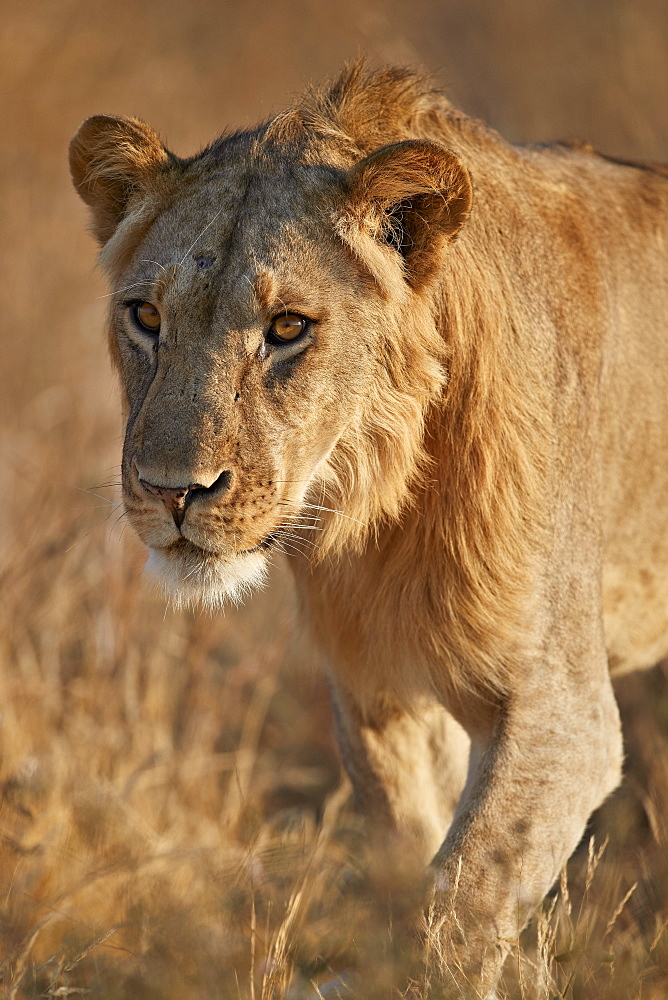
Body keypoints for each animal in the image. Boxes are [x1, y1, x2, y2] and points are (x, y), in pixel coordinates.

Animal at [70, 66, 668, 996]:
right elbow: (416, 860)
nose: (172, 492)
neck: (380, 508)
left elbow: (463, 894)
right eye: (146, 317)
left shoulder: (563, 708)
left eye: (287, 328)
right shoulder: (380, 690)